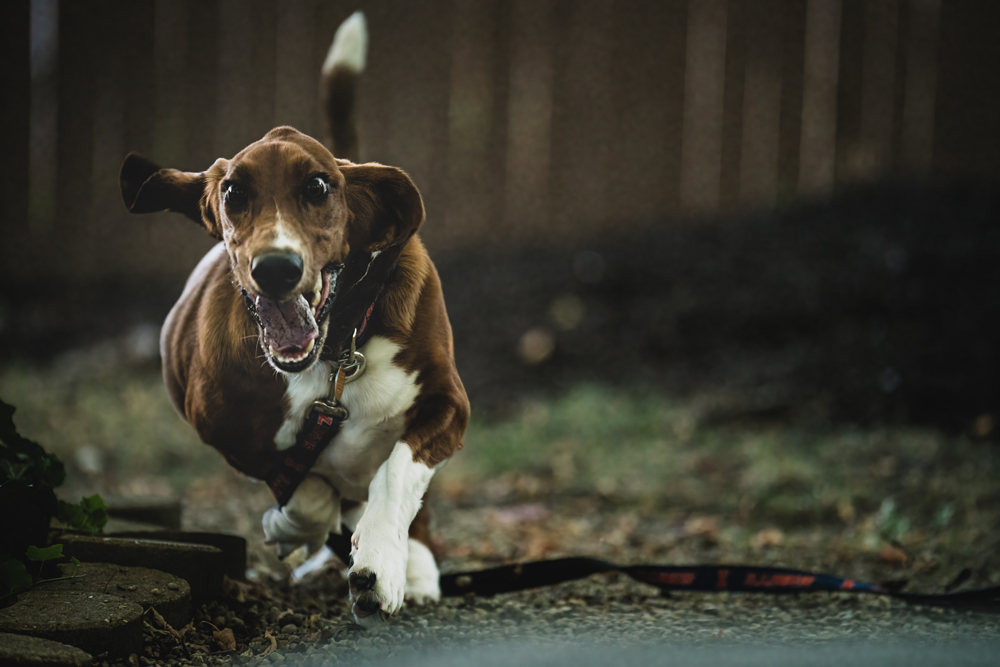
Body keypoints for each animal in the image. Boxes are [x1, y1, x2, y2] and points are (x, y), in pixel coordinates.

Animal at [117, 12, 469, 626]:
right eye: (233, 191)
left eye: (319, 186)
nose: (277, 267)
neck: (337, 347)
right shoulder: (220, 424)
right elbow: (303, 489)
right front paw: (295, 525)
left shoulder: (448, 405)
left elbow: (397, 472)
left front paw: (380, 566)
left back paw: (416, 566)